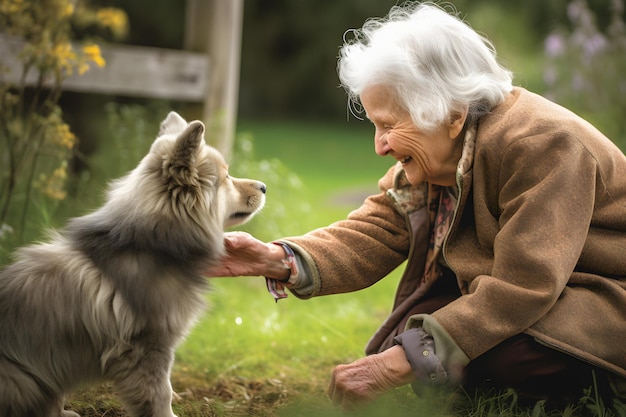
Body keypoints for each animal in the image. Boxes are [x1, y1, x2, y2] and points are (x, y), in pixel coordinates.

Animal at [0, 111, 266, 416]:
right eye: (226, 178)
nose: (264, 187)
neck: (150, 244)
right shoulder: (148, 347)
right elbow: (161, 393)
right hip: (19, 380)